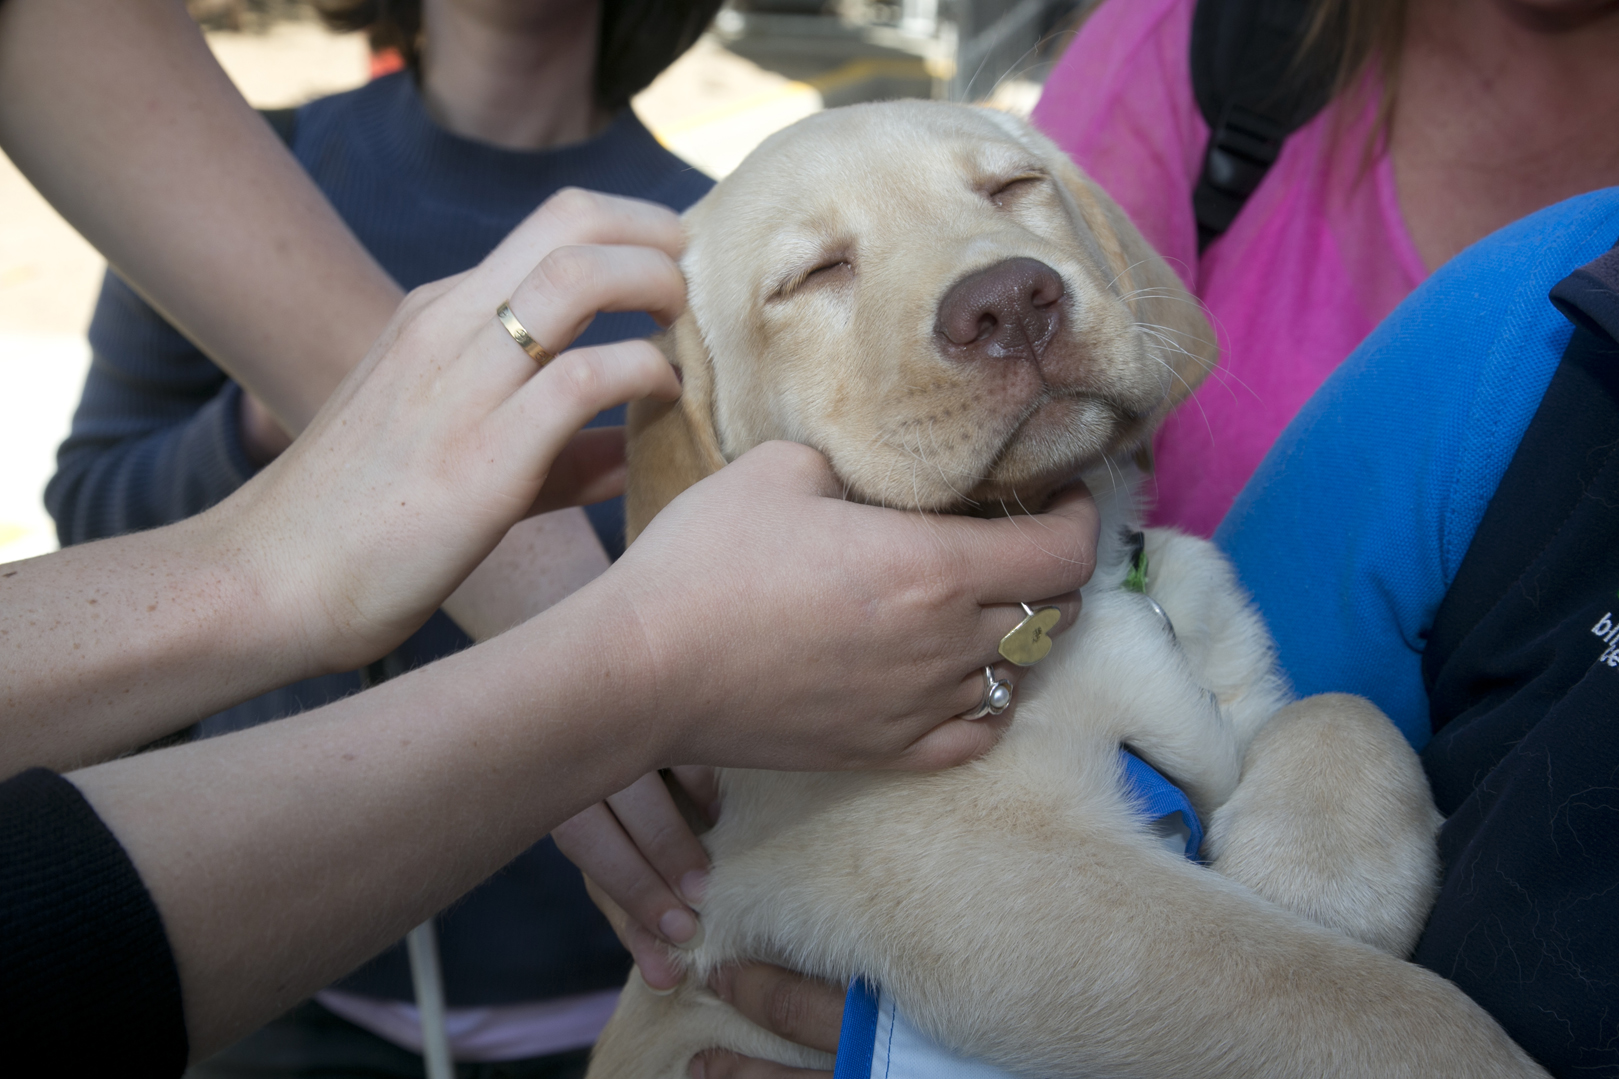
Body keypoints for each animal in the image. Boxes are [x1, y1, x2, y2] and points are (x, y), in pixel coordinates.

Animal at [592, 102, 1541, 1075]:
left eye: (1013, 187)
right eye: (815, 273)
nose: (1010, 301)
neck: (1086, 579)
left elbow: (1346, 707)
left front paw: (1326, 872)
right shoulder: (993, 869)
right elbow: (1352, 997)